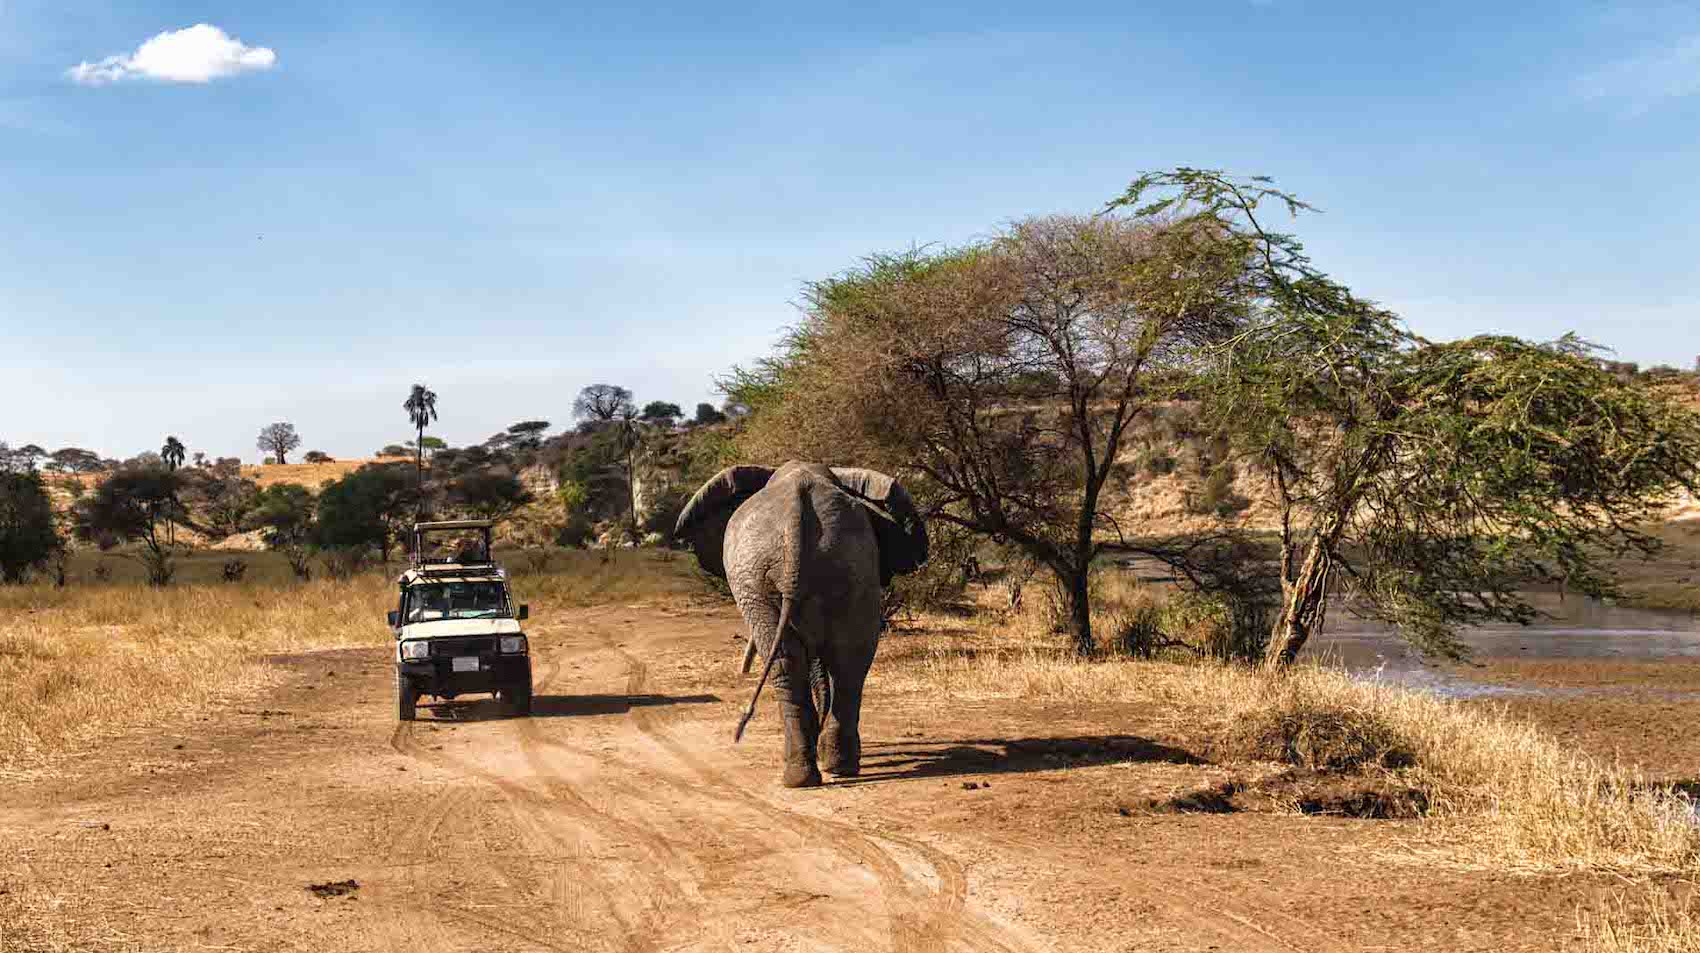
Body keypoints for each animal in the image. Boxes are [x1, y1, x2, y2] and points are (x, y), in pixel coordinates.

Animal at [669, 462, 931, 788]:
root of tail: (796, 513)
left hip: (767, 577)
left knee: (808, 661)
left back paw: (812, 772)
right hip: (830, 569)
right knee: (840, 661)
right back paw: (826, 770)